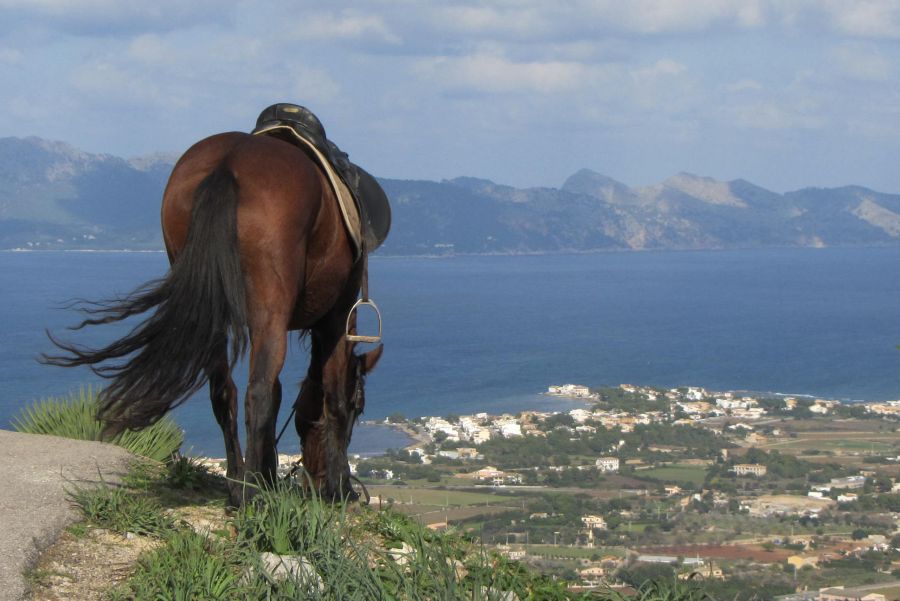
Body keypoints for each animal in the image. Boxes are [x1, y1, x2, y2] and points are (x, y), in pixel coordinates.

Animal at [43, 131, 383, 506]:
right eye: (359, 407)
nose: (317, 484)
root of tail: (229, 162)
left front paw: (268, 477)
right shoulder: (336, 319)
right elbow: (330, 398)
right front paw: (339, 490)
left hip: (210, 316)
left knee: (224, 393)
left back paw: (238, 486)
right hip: (270, 314)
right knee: (257, 394)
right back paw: (251, 494)